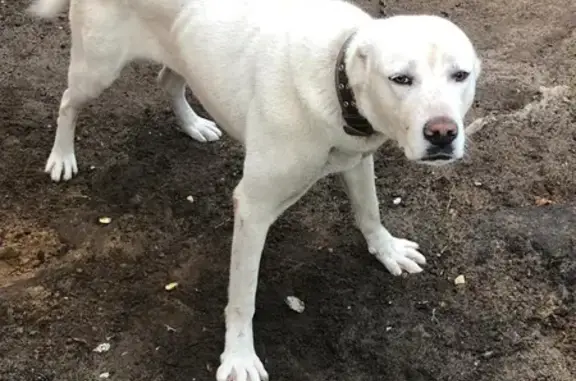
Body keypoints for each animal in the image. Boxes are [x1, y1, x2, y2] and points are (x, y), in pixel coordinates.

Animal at [30, 0, 482, 380]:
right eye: (400, 79)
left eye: (460, 75)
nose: (442, 133)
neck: (335, 74)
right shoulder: (253, 208)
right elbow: (243, 296)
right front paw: (239, 357)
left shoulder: (356, 159)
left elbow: (369, 210)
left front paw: (386, 250)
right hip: (97, 69)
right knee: (68, 102)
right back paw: (62, 155)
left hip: (179, 53)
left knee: (167, 80)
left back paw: (192, 124)